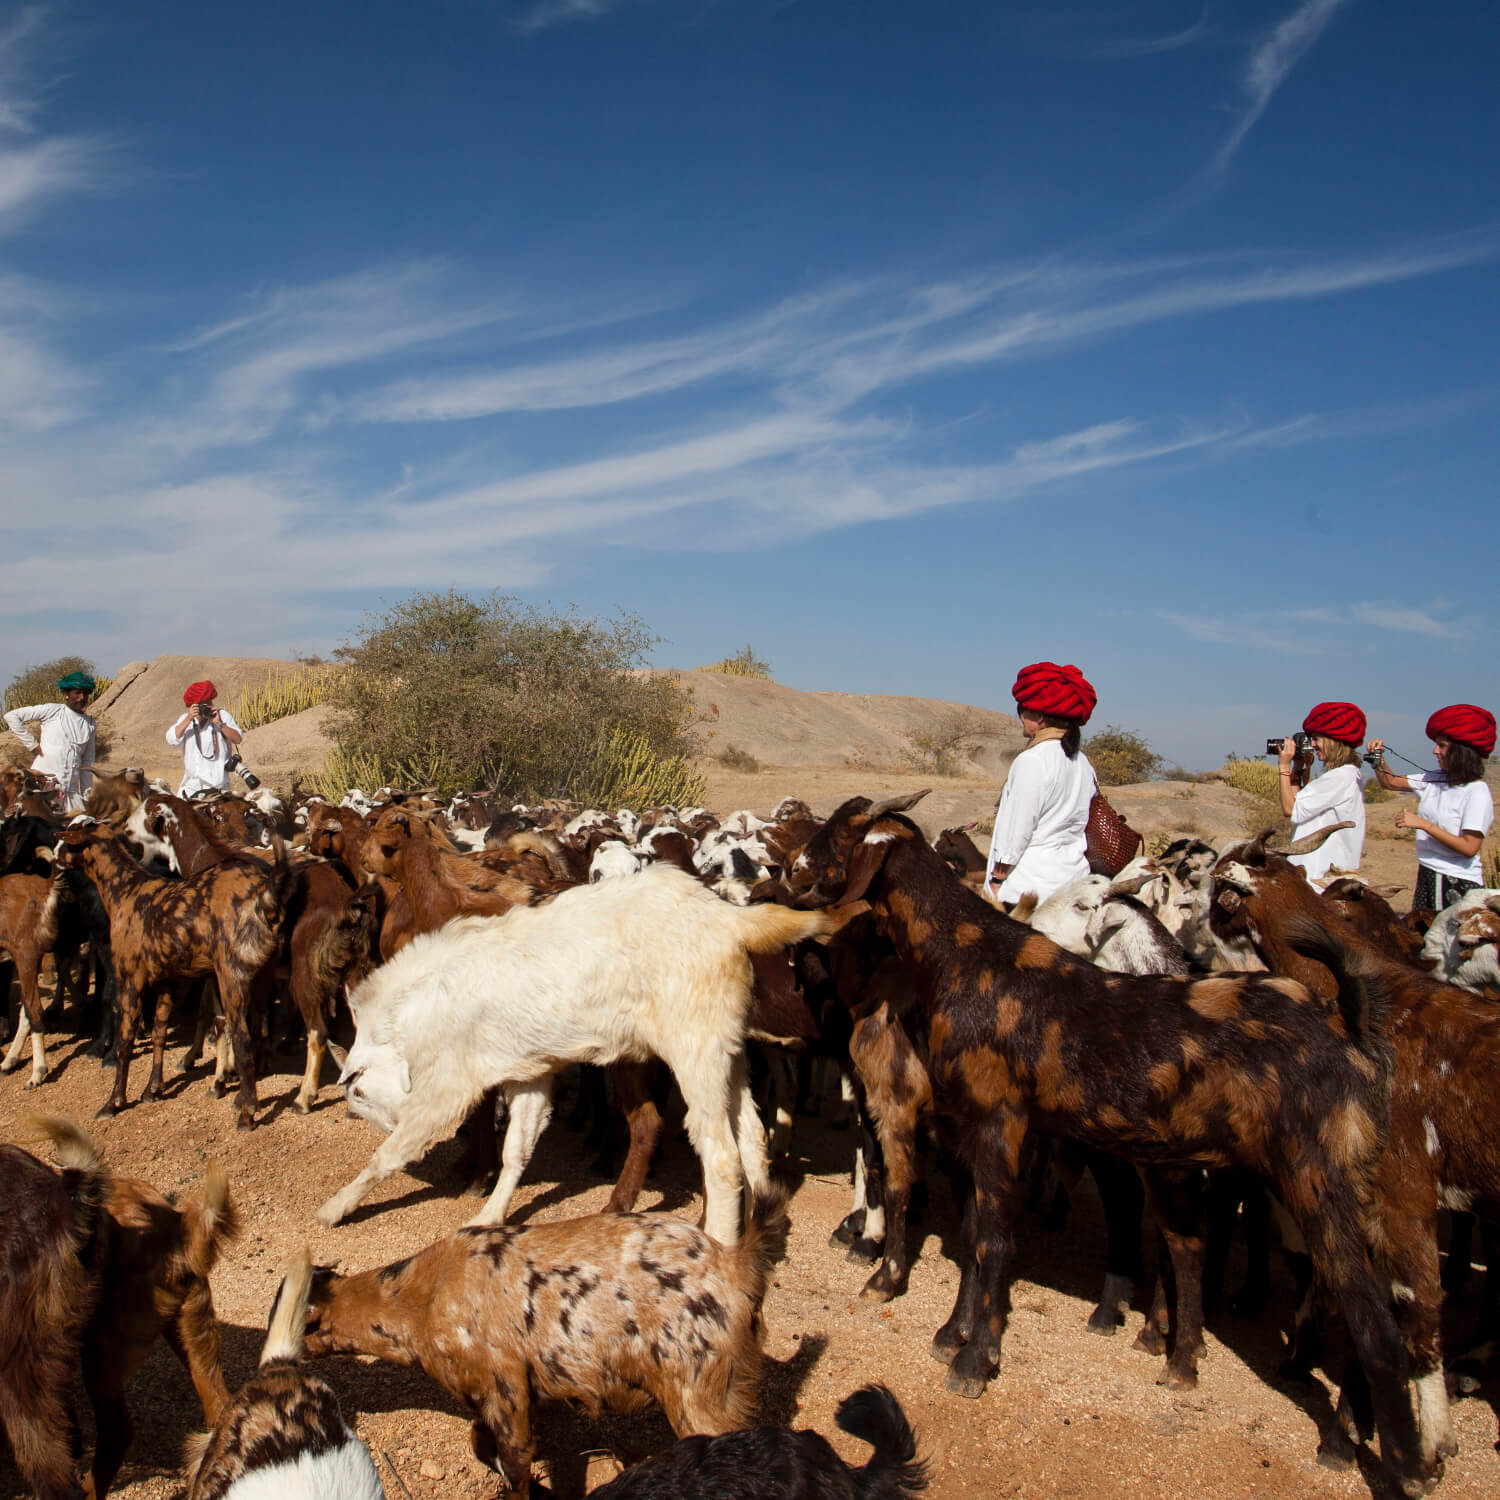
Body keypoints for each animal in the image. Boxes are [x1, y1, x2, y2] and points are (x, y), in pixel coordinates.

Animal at [307, 1188, 798, 1494]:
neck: (424, 1297)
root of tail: (737, 1267)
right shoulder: (499, 1394)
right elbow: (482, 1444)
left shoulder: (504, 1387)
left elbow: (515, 1464)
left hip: (701, 1395)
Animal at [780, 792, 1422, 1494]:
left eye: (843, 833)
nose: (792, 869)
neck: (969, 960)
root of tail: (1351, 1031)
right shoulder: (973, 1127)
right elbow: (974, 1232)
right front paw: (957, 1332)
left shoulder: (996, 1118)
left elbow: (991, 1239)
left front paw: (975, 1360)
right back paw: (1184, 1361)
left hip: (1317, 1179)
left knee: (1372, 1321)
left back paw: (1392, 1460)